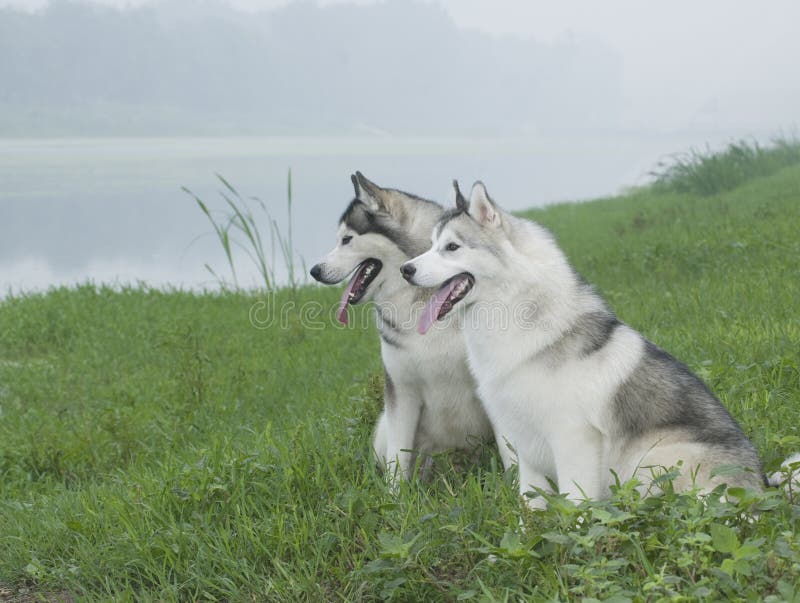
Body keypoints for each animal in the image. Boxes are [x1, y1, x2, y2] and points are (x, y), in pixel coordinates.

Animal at [308, 172, 490, 484]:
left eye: (347, 239)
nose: (315, 271)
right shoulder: (401, 391)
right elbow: (397, 461)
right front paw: (396, 496)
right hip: (385, 425)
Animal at [404, 182, 764, 508]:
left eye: (452, 247)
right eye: (431, 245)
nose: (405, 269)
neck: (517, 310)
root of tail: (758, 490)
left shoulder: (573, 439)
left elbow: (576, 505)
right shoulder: (525, 445)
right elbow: (529, 508)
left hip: (652, 457)